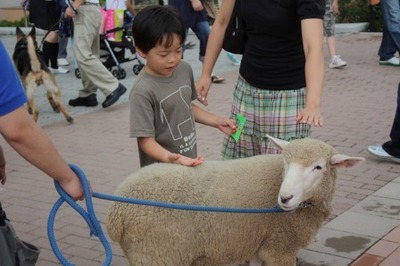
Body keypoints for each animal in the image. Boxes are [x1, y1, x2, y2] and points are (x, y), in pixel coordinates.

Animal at [107, 136, 366, 264]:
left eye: (318, 167)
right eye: (285, 161)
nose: (285, 198)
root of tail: (116, 211)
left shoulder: (258, 245)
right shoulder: (279, 247)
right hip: (156, 254)